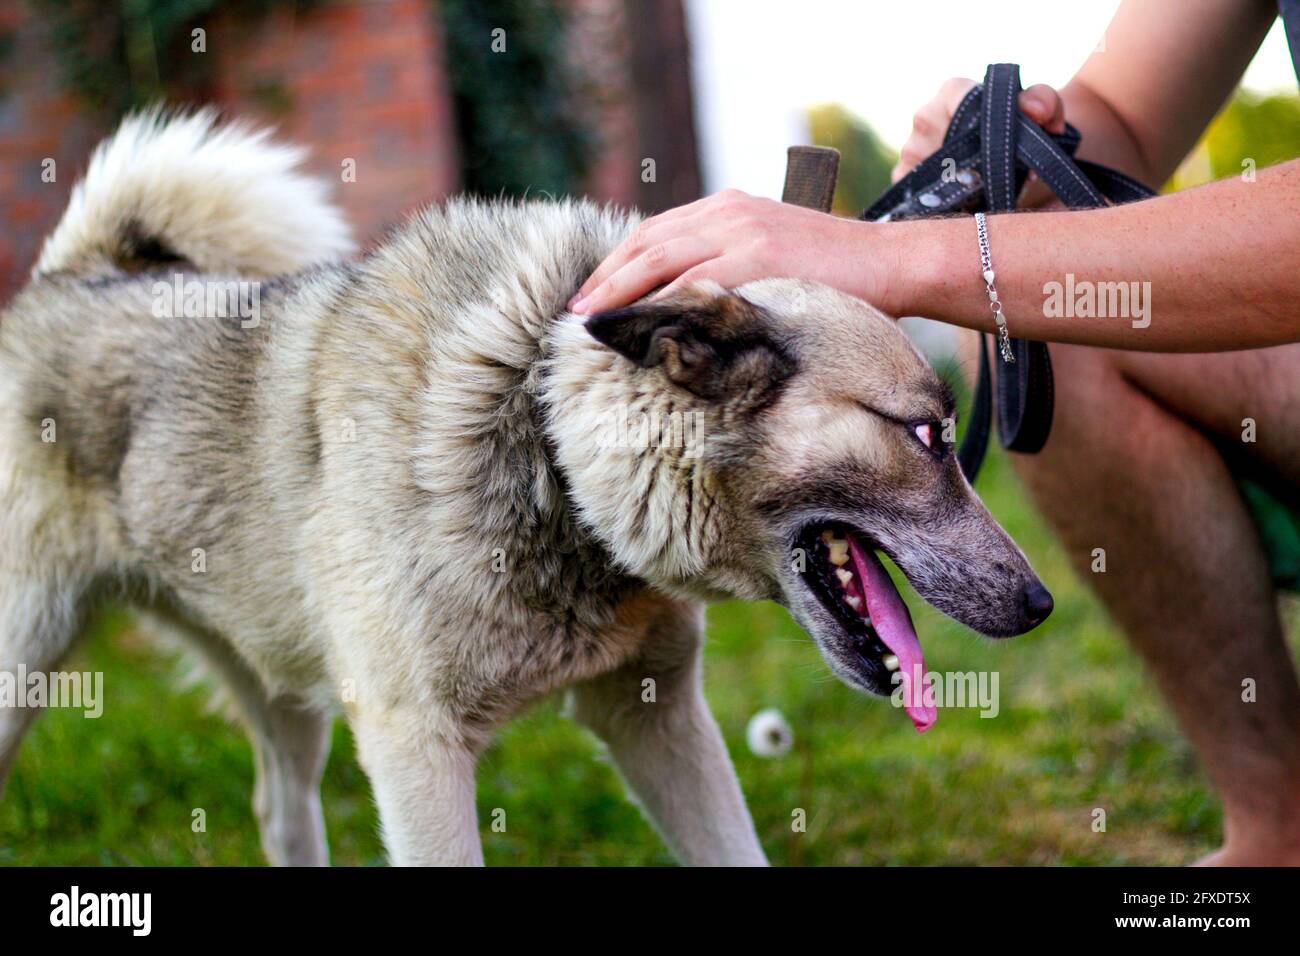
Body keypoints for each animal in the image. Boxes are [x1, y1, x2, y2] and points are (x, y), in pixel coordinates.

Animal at [0, 111, 1050, 868]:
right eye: (927, 435)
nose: (1042, 604)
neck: (538, 421)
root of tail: (66, 280)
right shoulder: (417, 754)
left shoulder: (655, 717)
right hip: (24, 665)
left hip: (279, 692)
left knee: (281, 810)